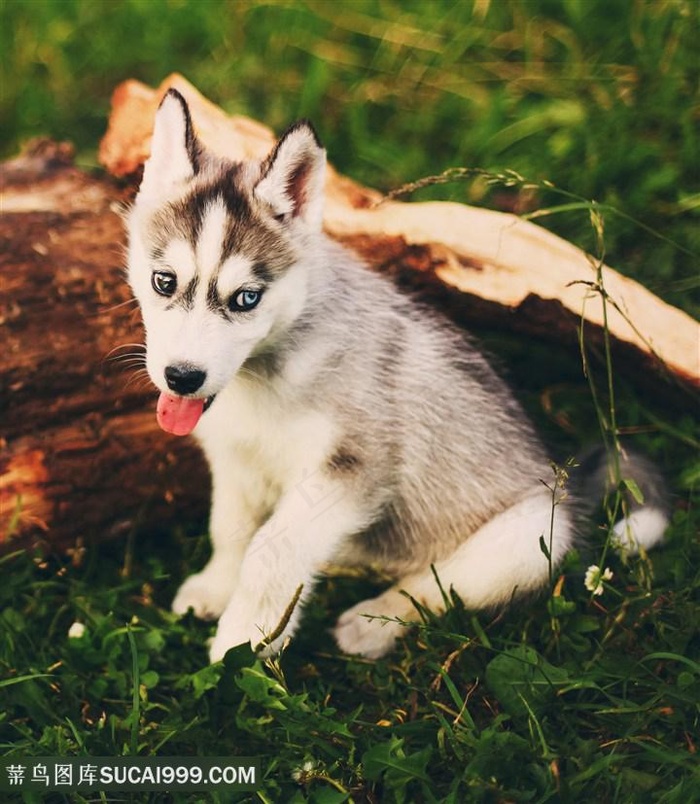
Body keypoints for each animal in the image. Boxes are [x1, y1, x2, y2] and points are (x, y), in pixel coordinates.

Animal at [126, 91, 668, 664]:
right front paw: (215, 588)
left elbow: (273, 548)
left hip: (529, 536)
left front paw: (244, 642)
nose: (182, 377)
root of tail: (569, 486)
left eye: (246, 298)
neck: (262, 377)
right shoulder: (236, 459)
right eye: (164, 282)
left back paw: (371, 623)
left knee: (436, 587)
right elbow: (231, 529)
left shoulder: (356, 467)